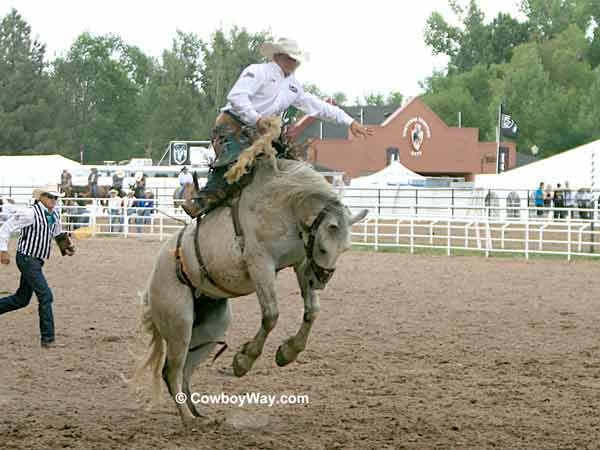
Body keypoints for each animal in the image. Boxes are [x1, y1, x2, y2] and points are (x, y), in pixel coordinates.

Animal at [135, 156, 366, 424]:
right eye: (324, 248)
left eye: (345, 248)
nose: (320, 281)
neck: (283, 206)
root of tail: (152, 282)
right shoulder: (260, 265)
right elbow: (271, 315)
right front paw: (243, 361)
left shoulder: (300, 262)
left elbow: (312, 311)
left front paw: (288, 352)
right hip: (179, 324)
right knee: (171, 371)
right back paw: (188, 419)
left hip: (209, 329)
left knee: (185, 371)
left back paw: (200, 416)